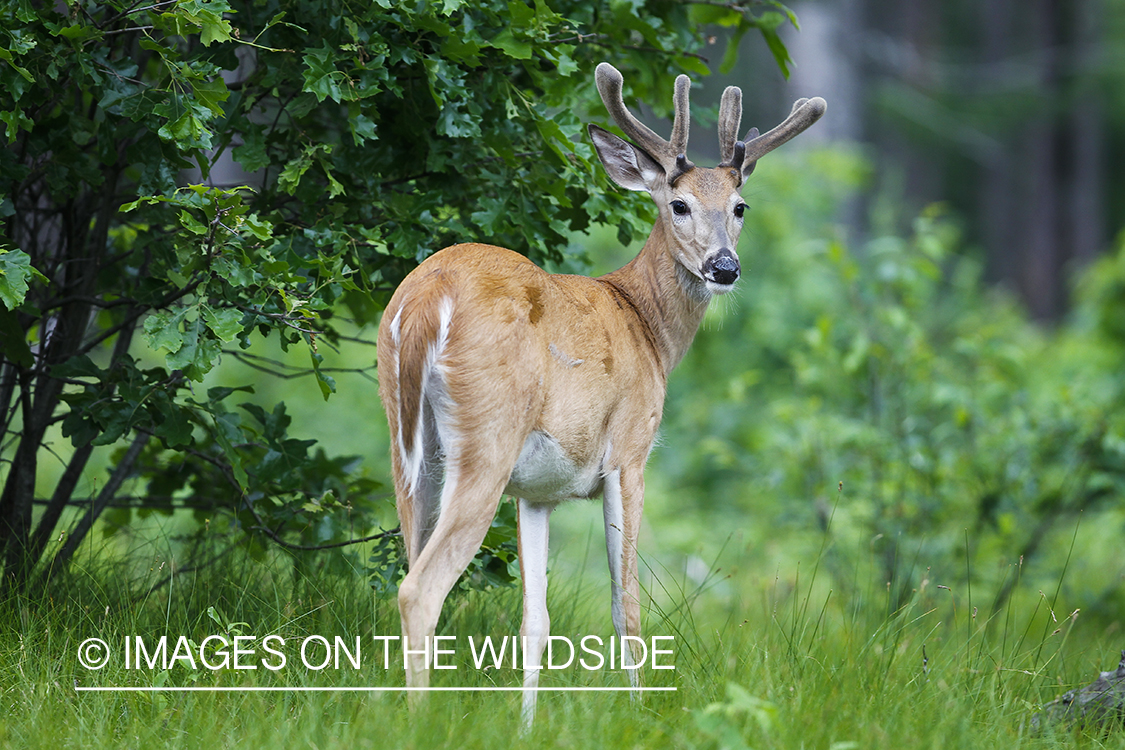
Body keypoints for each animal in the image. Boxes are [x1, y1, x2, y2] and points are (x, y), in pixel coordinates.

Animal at [375, 61, 825, 726]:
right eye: (679, 204)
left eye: (740, 206)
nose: (724, 267)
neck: (646, 326)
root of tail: (427, 299)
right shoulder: (629, 452)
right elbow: (627, 606)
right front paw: (640, 715)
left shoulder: (536, 491)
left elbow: (536, 620)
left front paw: (526, 726)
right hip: (487, 435)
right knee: (419, 590)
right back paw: (419, 722)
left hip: (408, 448)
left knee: (409, 562)